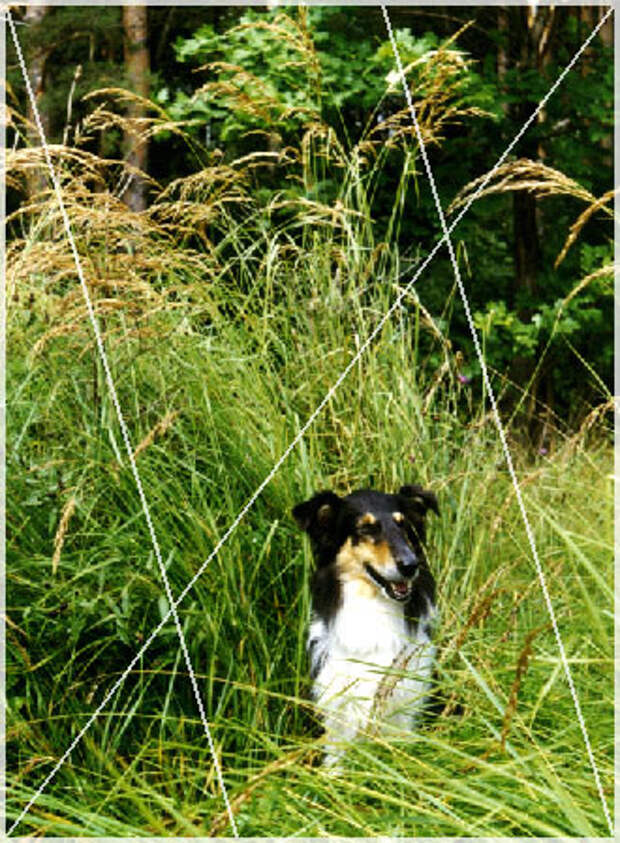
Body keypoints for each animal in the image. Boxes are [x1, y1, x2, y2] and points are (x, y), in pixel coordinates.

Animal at [294, 484, 438, 768]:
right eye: (366, 529)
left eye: (403, 526)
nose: (411, 565)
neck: (374, 607)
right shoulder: (339, 710)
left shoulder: (406, 706)